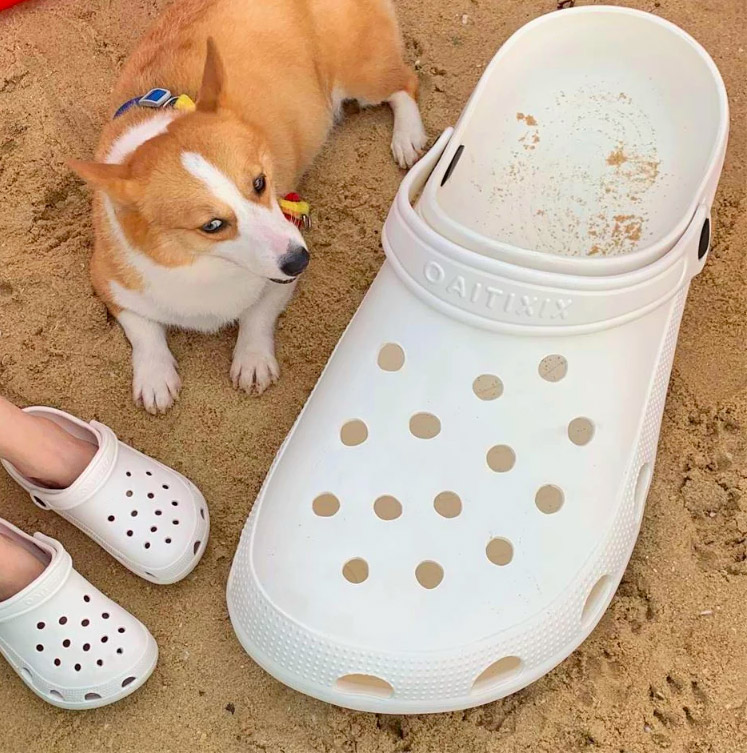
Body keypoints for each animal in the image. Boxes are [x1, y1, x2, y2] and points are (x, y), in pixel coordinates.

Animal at [70, 0, 426, 412]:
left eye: (260, 182)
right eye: (211, 225)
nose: (300, 260)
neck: (204, 267)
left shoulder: (280, 276)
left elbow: (257, 315)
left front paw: (252, 361)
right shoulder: (108, 282)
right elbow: (143, 330)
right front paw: (155, 379)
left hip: (363, 75)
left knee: (404, 84)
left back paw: (407, 137)